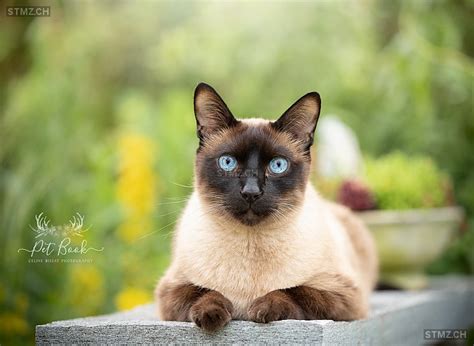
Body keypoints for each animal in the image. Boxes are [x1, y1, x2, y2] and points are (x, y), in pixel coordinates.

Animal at [156, 82, 378, 332]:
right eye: (228, 162)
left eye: (278, 165)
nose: (251, 192)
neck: (251, 243)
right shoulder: (169, 290)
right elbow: (203, 291)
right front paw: (211, 315)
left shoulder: (344, 294)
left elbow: (294, 291)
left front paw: (263, 308)